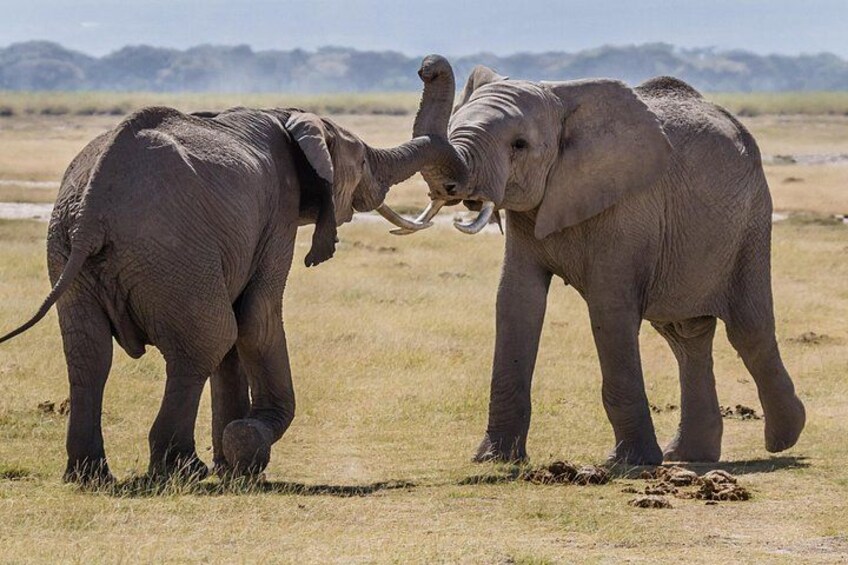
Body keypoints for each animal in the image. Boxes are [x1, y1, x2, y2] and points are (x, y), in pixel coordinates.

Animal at [0, 100, 458, 483]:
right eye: (362, 159)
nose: (449, 191)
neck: (290, 114)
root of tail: (93, 208)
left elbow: (238, 333)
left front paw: (232, 462)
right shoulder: (279, 211)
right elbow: (255, 319)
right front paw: (246, 449)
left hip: (68, 250)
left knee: (90, 355)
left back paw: (89, 476)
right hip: (172, 250)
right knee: (207, 338)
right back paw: (183, 469)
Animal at [400, 55, 806, 465]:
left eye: (519, 144)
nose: (427, 66)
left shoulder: (628, 204)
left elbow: (609, 308)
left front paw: (629, 463)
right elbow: (516, 301)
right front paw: (494, 460)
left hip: (750, 222)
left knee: (748, 329)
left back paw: (784, 438)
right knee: (685, 336)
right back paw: (689, 455)